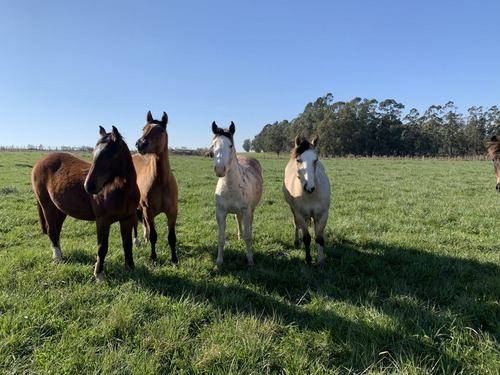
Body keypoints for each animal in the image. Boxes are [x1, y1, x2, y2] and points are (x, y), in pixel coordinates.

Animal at [30, 126, 141, 282]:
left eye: (109, 154)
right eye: (94, 154)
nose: (89, 186)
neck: (121, 190)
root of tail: (40, 161)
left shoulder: (128, 218)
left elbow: (127, 243)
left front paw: (130, 268)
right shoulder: (102, 221)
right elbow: (102, 247)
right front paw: (99, 274)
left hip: (61, 209)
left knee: (57, 230)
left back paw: (60, 254)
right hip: (48, 206)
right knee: (51, 230)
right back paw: (57, 257)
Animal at [134, 110, 179, 266]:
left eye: (160, 131)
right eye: (143, 129)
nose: (140, 144)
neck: (161, 181)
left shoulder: (172, 211)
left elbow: (171, 237)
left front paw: (174, 260)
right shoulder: (149, 211)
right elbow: (154, 235)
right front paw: (153, 258)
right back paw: (137, 241)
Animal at [213, 121, 264, 268]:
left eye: (231, 145)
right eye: (213, 145)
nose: (220, 169)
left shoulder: (247, 211)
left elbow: (248, 237)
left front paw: (250, 261)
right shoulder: (220, 212)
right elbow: (221, 238)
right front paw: (219, 262)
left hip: (252, 209)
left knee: (249, 223)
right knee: (238, 219)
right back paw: (239, 235)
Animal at [282, 137, 332, 266]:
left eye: (316, 159)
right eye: (298, 160)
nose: (309, 188)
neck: (311, 195)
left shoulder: (323, 214)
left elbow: (319, 238)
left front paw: (320, 261)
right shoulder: (300, 215)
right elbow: (306, 238)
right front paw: (308, 260)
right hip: (293, 210)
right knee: (296, 224)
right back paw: (296, 242)